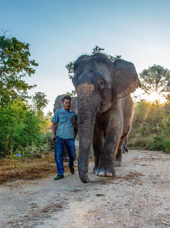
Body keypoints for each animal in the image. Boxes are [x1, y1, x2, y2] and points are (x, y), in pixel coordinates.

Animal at [72, 52, 140, 183]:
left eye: (102, 83)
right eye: (74, 84)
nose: (87, 179)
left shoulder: (117, 98)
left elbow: (115, 125)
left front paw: (105, 173)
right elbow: (96, 133)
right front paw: (96, 171)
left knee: (122, 137)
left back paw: (117, 163)